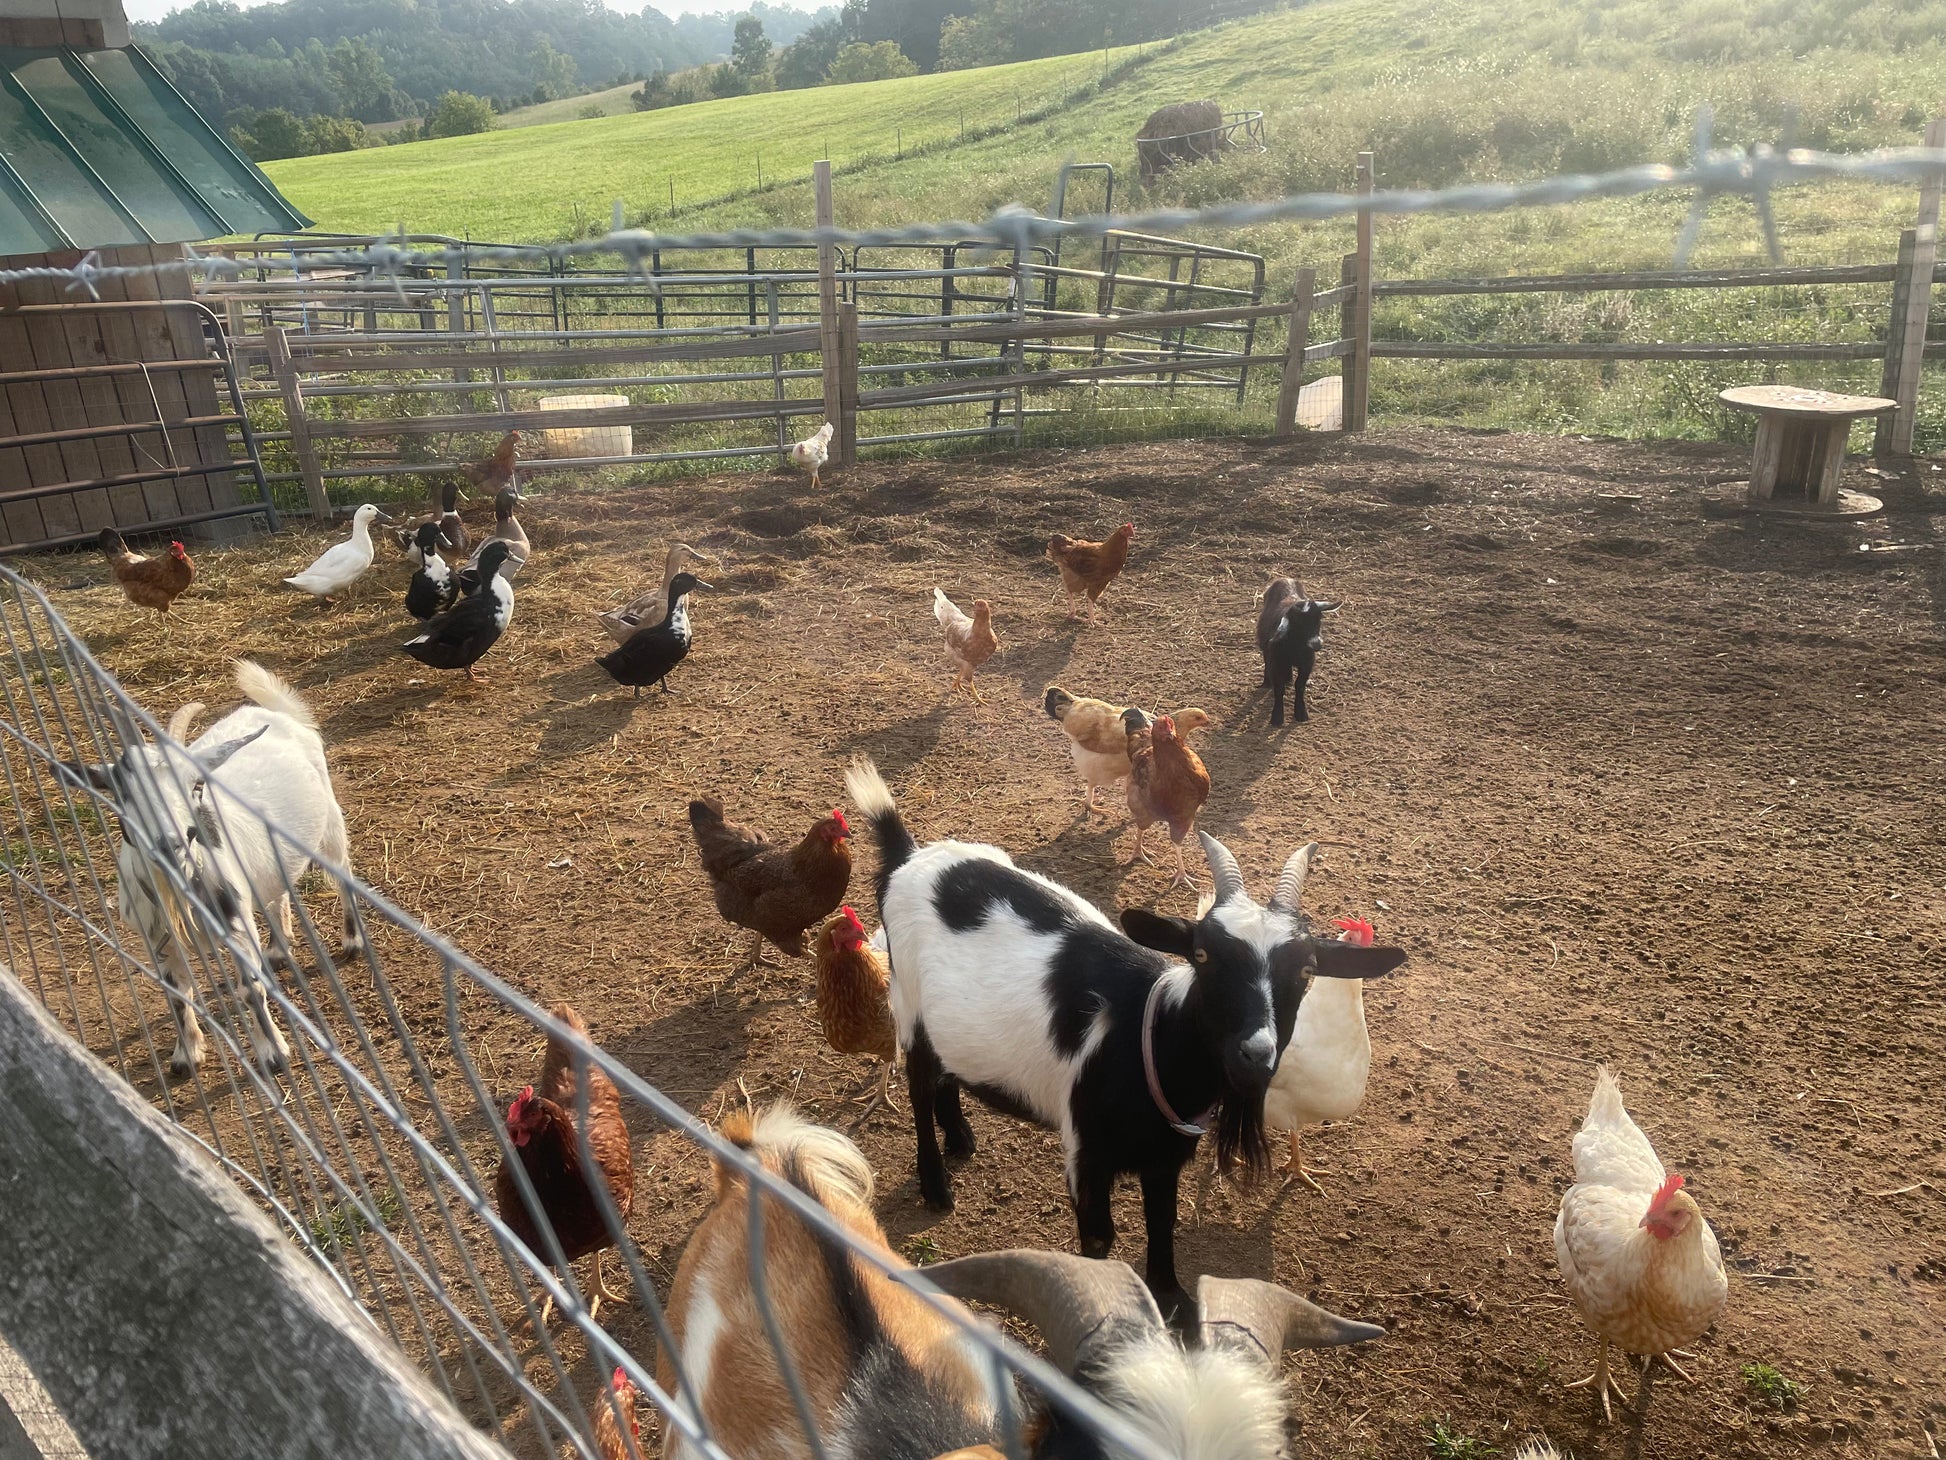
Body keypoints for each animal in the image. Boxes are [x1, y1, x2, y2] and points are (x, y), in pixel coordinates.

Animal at [62, 661, 361, 1076]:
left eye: (196, 785)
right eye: (123, 794)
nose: (173, 841)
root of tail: (274, 711)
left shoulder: (236, 929)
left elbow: (250, 989)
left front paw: (274, 1053)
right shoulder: (157, 940)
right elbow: (176, 994)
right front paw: (186, 1054)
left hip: (330, 825)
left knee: (342, 873)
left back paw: (352, 941)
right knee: (277, 891)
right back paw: (278, 949)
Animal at [842, 758, 1406, 1319]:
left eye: (1308, 970)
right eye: (1202, 955)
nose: (1256, 1052)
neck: (1146, 1041)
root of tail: (909, 857)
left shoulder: (1166, 1156)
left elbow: (1162, 1225)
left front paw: (1174, 1304)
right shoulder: (1086, 1155)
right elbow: (1100, 1242)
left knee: (945, 1074)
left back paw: (961, 1139)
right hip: (910, 1005)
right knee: (920, 1085)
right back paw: (936, 1186)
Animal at [1255, 578, 1339, 728]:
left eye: (1319, 619)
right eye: (1298, 623)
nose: (1316, 644)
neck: (1295, 647)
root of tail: (1285, 579)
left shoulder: (1307, 663)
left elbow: (1300, 686)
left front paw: (1301, 713)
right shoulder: (1276, 662)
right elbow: (1278, 688)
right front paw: (1277, 717)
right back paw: (1267, 682)